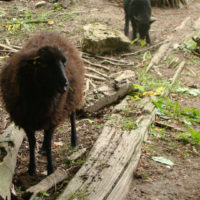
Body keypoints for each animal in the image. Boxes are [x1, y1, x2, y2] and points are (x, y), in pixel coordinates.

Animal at [0, 31, 84, 175]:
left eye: (64, 63)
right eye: (44, 64)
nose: (65, 83)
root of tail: (52, 33)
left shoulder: (53, 117)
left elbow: (50, 143)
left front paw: (50, 169)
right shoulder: (26, 121)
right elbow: (32, 142)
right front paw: (31, 168)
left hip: (72, 96)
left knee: (72, 116)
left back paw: (74, 141)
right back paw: (43, 148)